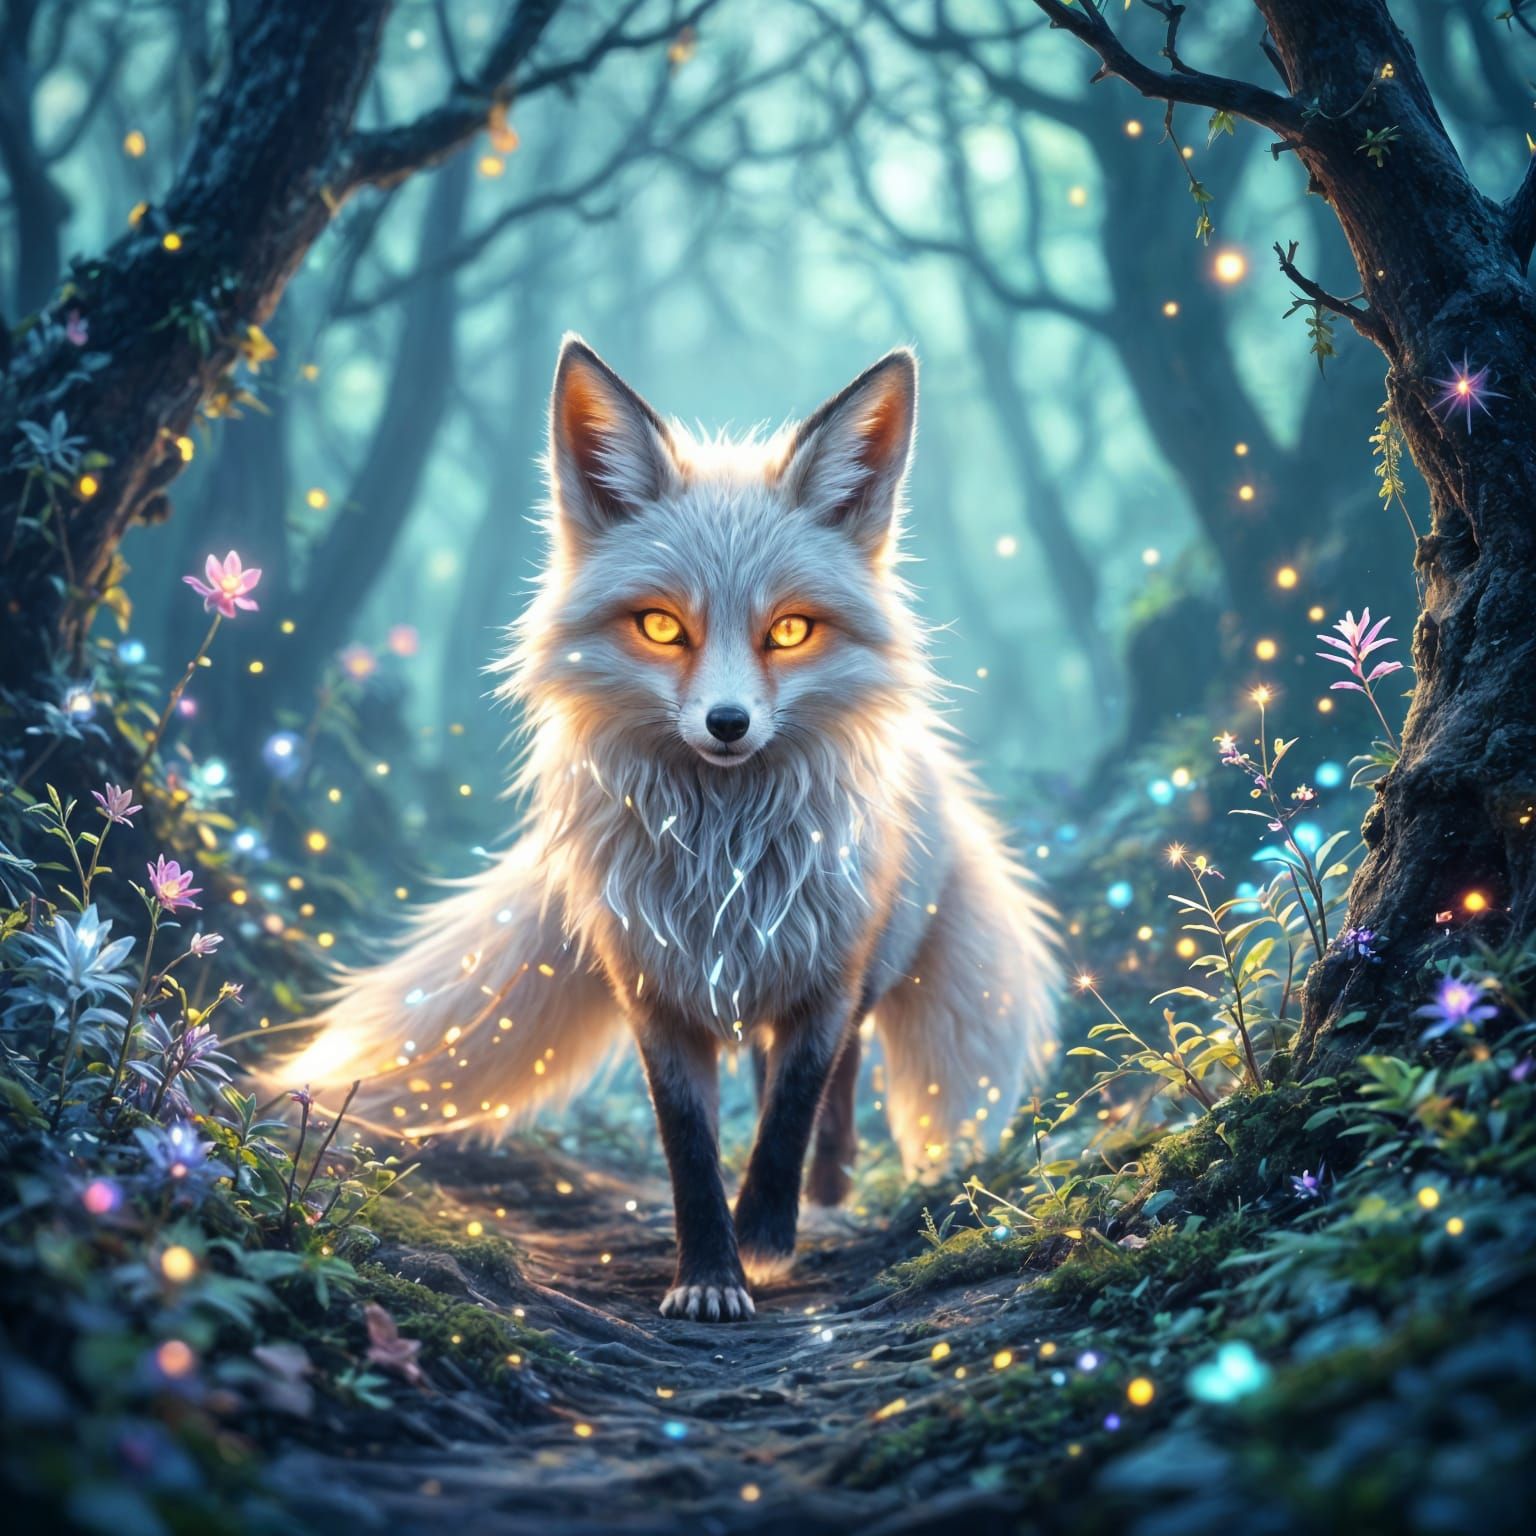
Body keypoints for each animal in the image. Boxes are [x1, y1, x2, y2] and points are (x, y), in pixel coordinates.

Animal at [282, 337, 1060, 1321]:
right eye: (660, 626)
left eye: (790, 631)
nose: (727, 724)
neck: (725, 862)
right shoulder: (653, 984)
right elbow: (689, 1141)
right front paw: (709, 1272)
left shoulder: (825, 975)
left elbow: (791, 1111)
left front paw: (765, 1238)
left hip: (866, 955)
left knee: (834, 1075)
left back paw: (830, 1183)